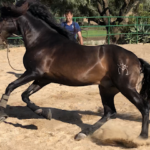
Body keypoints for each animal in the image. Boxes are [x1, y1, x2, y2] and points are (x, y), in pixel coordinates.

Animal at [0, 2, 150, 141]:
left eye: (4, 19)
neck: (42, 42)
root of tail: (136, 59)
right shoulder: (43, 78)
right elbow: (25, 95)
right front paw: (45, 113)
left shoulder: (33, 72)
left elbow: (10, 87)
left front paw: (3, 115)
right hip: (107, 89)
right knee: (110, 112)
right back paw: (82, 134)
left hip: (126, 88)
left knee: (143, 108)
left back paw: (141, 137)